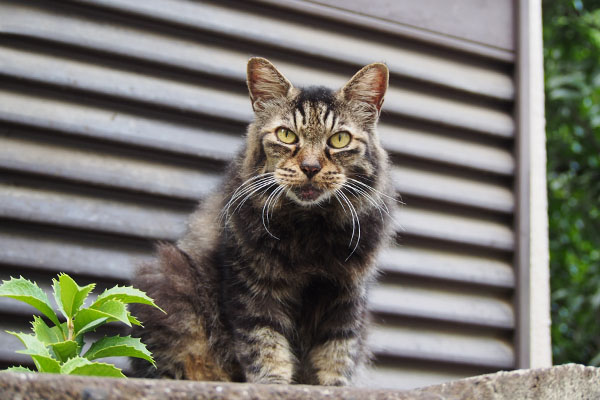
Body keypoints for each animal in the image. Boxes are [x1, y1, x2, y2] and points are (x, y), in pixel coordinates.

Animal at [131, 57, 394, 386]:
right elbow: (265, 346)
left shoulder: (346, 295)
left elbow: (337, 352)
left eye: (339, 139)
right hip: (170, 282)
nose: (310, 167)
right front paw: (274, 385)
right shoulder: (252, 287)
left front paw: (333, 388)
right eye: (286, 135)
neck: (310, 226)